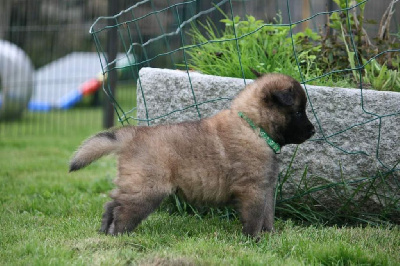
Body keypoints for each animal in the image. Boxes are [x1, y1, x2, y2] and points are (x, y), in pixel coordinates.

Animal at [69, 72, 316, 237]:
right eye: (298, 112)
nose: (313, 131)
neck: (254, 127)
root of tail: (133, 135)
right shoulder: (253, 189)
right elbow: (255, 217)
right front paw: (253, 240)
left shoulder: (266, 188)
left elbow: (267, 215)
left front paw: (269, 237)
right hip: (147, 188)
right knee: (123, 211)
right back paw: (118, 235)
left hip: (135, 185)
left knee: (112, 204)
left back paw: (104, 232)